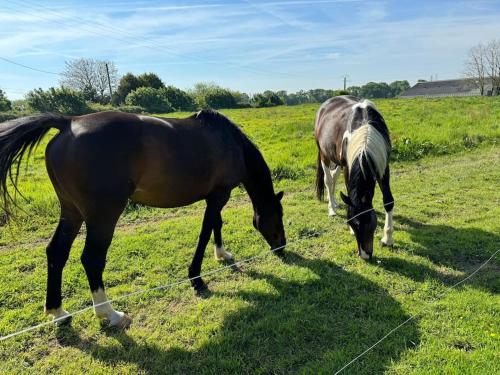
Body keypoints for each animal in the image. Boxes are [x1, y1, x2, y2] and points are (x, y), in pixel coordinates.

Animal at [0, 109, 286, 328]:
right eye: (278, 216)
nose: (282, 246)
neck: (229, 142)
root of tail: (68, 123)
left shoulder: (215, 196)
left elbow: (216, 224)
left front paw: (222, 254)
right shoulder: (219, 195)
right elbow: (206, 230)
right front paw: (196, 278)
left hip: (71, 211)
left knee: (56, 252)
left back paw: (58, 313)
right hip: (103, 216)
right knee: (91, 259)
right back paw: (110, 314)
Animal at [316, 95, 394, 260]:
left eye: (369, 222)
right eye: (352, 223)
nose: (364, 255)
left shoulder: (384, 166)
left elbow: (388, 201)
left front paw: (388, 239)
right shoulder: (348, 166)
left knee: (333, 177)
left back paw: (335, 204)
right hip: (324, 154)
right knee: (328, 180)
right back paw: (331, 208)